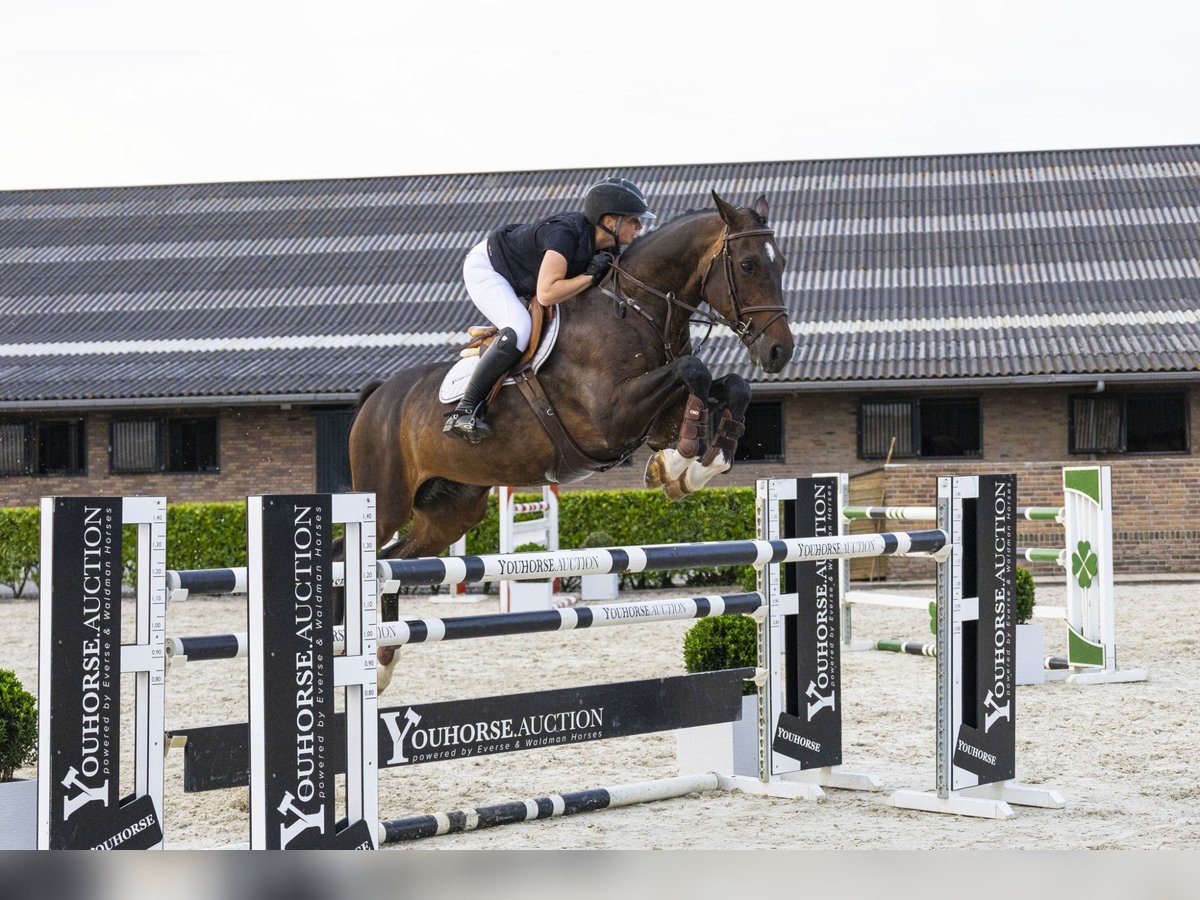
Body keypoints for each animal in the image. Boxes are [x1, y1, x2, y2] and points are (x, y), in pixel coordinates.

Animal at [350, 195, 796, 691]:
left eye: (780, 264)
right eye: (748, 263)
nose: (780, 351)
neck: (639, 310)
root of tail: (378, 396)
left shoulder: (656, 418)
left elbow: (733, 385)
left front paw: (690, 468)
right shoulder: (611, 417)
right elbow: (693, 369)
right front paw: (678, 463)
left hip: (451, 513)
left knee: (392, 564)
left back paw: (383, 661)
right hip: (386, 501)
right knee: (366, 559)